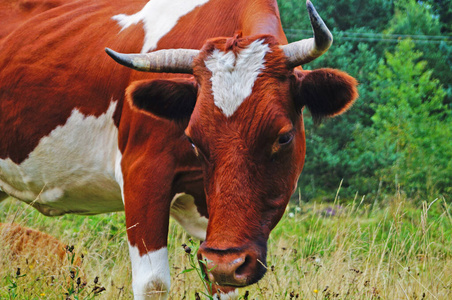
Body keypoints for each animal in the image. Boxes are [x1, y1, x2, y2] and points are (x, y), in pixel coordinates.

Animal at [1, 0, 358, 298]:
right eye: (193, 138)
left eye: (283, 137)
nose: (226, 261)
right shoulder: (142, 176)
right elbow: (153, 283)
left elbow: (221, 283)